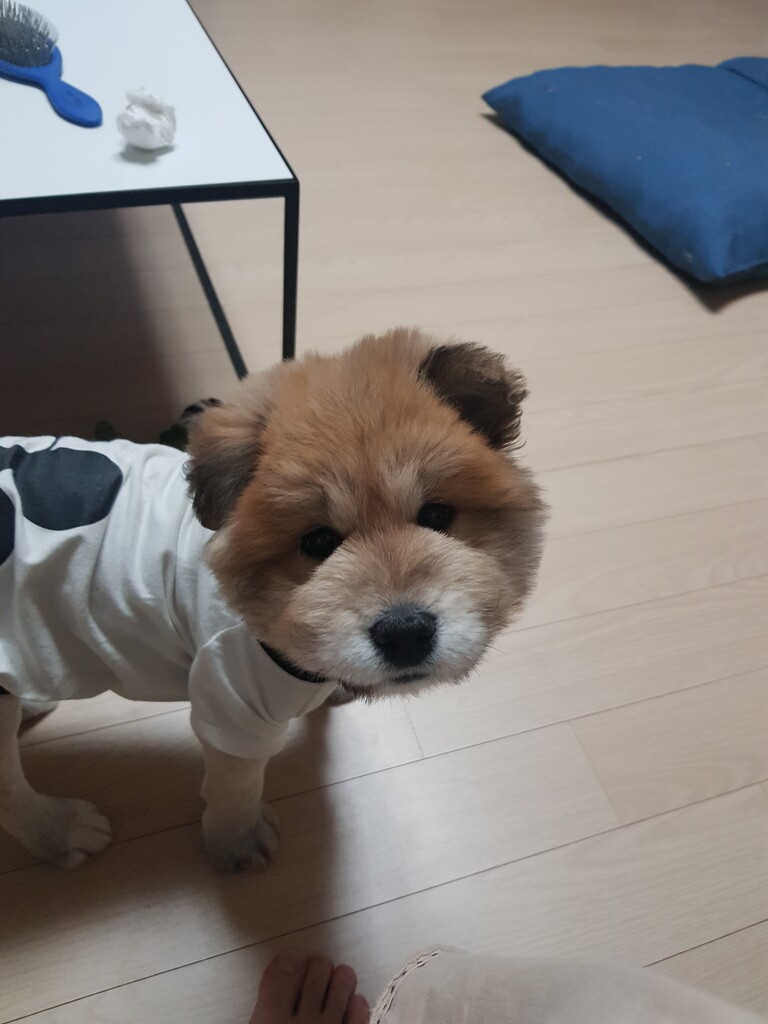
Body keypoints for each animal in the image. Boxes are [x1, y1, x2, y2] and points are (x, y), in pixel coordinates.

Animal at [0, 328, 545, 871]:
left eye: (436, 515)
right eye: (318, 542)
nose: (405, 633)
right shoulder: (230, 702)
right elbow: (236, 786)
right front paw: (235, 843)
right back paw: (61, 830)